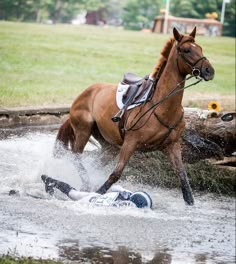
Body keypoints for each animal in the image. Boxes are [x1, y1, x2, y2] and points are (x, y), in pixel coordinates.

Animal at [55, 27, 214, 204]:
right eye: (187, 50)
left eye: (200, 48)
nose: (209, 71)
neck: (163, 106)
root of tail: (83, 93)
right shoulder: (130, 142)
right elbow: (115, 174)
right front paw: (98, 194)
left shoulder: (172, 145)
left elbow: (183, 177)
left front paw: (190, 202)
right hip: (83, 130)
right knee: (76, 157)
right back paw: (86, 185)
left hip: (109, 145)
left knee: (95, 160)